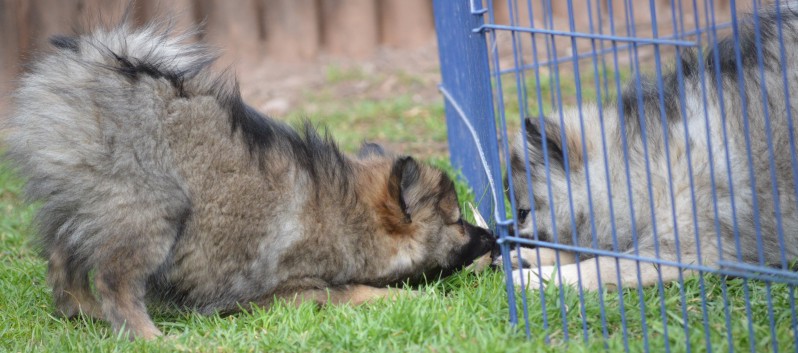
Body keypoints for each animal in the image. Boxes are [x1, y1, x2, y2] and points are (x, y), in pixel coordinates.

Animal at [3, 20, 496, 338]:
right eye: (457, 222)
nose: (493, 239)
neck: (346, 215)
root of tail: (86, 76)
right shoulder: (289, 289)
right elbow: (346, 289)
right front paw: (406, 299)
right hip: (151, 212)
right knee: (113, 282)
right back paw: (152, 338)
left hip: (81, 207)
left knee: (63, 262)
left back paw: (83, 314)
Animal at [510, 5, 798, 290]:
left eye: (523, 213)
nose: (506, 239)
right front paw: (531, 258)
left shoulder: (687, 251)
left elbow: (601, 266)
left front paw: (537, 277)